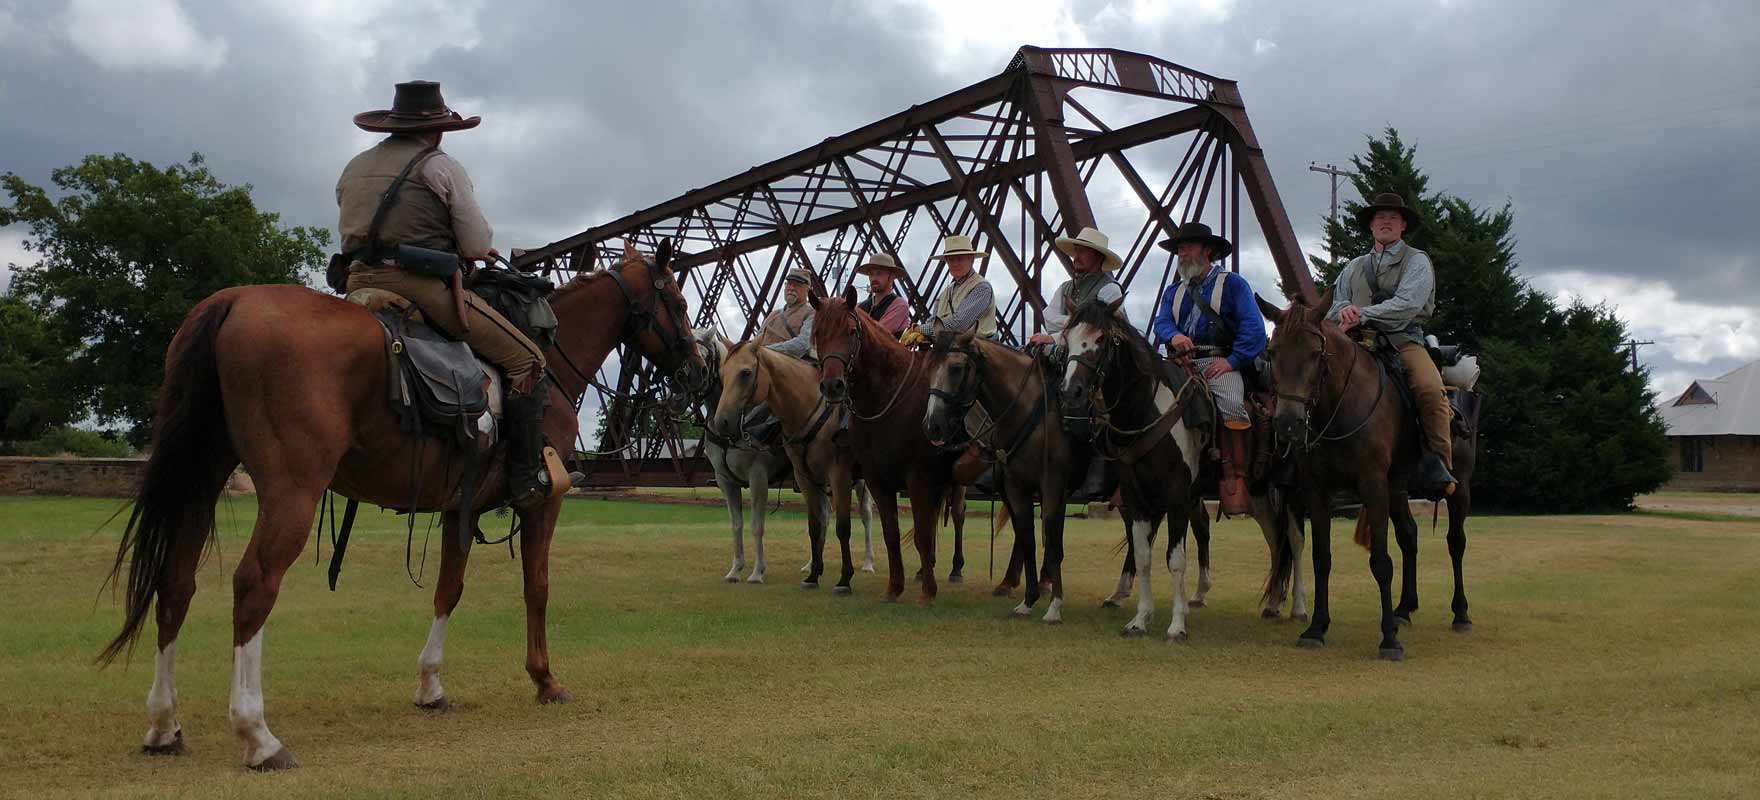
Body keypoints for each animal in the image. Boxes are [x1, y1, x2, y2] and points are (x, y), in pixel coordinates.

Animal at [98, 239, 693, 770]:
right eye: (681, 304)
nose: (695, 362)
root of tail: (234, 301)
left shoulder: (459, 507)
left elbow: (448, 589)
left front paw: (431, 685)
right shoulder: (541, 504)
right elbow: (537, 587)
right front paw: (545, 679)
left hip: (202, 476)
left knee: (175, 582)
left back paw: (163, 724)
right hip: (292, 489)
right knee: (253, 585)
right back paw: (259, 736)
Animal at [679, 328, 872, 587]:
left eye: (703, 352)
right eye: (723, 373)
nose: (689, 378)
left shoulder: (758, 478)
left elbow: (757, 525)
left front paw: (757, 572)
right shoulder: (725, 482)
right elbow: (736, 525)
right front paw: (736, 569)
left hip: (858, 480)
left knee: (865, 513)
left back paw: (868, 562)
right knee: (823, 515)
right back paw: (811, 565)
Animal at [813, 284, 964, 604]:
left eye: (851, 332)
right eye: (817, 332)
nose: (832, 385)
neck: (888, 397)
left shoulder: (918, 476)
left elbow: (921, 534)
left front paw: (927, 592)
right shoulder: (877, 479)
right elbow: (892, 534)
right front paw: (895, 587)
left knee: (959, 515)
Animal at [1260, 288, 1478, 664]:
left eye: (1316, 353)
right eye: (1272, 353)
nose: (1287, 424)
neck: (1340, 406)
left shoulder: (1373, 487)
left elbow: (1381, 561)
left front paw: (1388, 639)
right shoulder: (1317, 492)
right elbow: (1321, 559)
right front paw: (1316, 628)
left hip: (1458, 485)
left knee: (1456, 541)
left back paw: (1460, 613)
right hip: (1399, 490)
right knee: (1409, 536)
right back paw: (1405, 609)